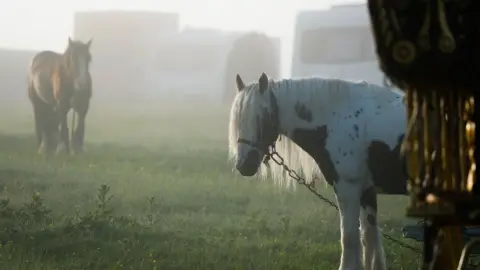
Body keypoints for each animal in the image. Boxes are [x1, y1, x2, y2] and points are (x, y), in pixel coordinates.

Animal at [227, 72, 406, 270]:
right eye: (239, 120)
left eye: (262, 118)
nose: (244, 165)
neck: (338, 118)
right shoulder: (367, 190)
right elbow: (369, 238)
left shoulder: (348, 189)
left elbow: (350, 238)